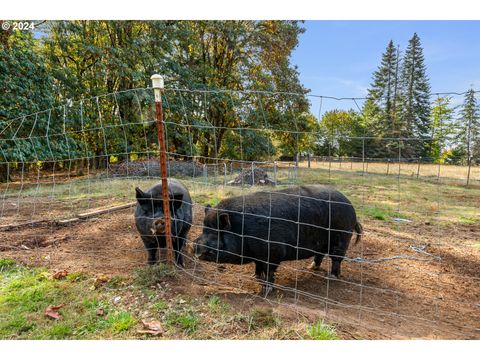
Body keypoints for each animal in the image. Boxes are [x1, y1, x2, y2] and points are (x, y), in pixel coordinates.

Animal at [193, 186, 362, 296]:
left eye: (216, 233)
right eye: (204, 229)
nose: (195, 246)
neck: (242, 230)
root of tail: (351, 207)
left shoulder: (273, 252)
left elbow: (269, 271)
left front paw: (266, 290)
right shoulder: (259, 255)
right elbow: (258, 267)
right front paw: (255, 277)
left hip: (341, 237)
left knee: (336, 258)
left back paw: (331, 277)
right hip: (323, 242)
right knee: (319, 255)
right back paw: (310, 268)